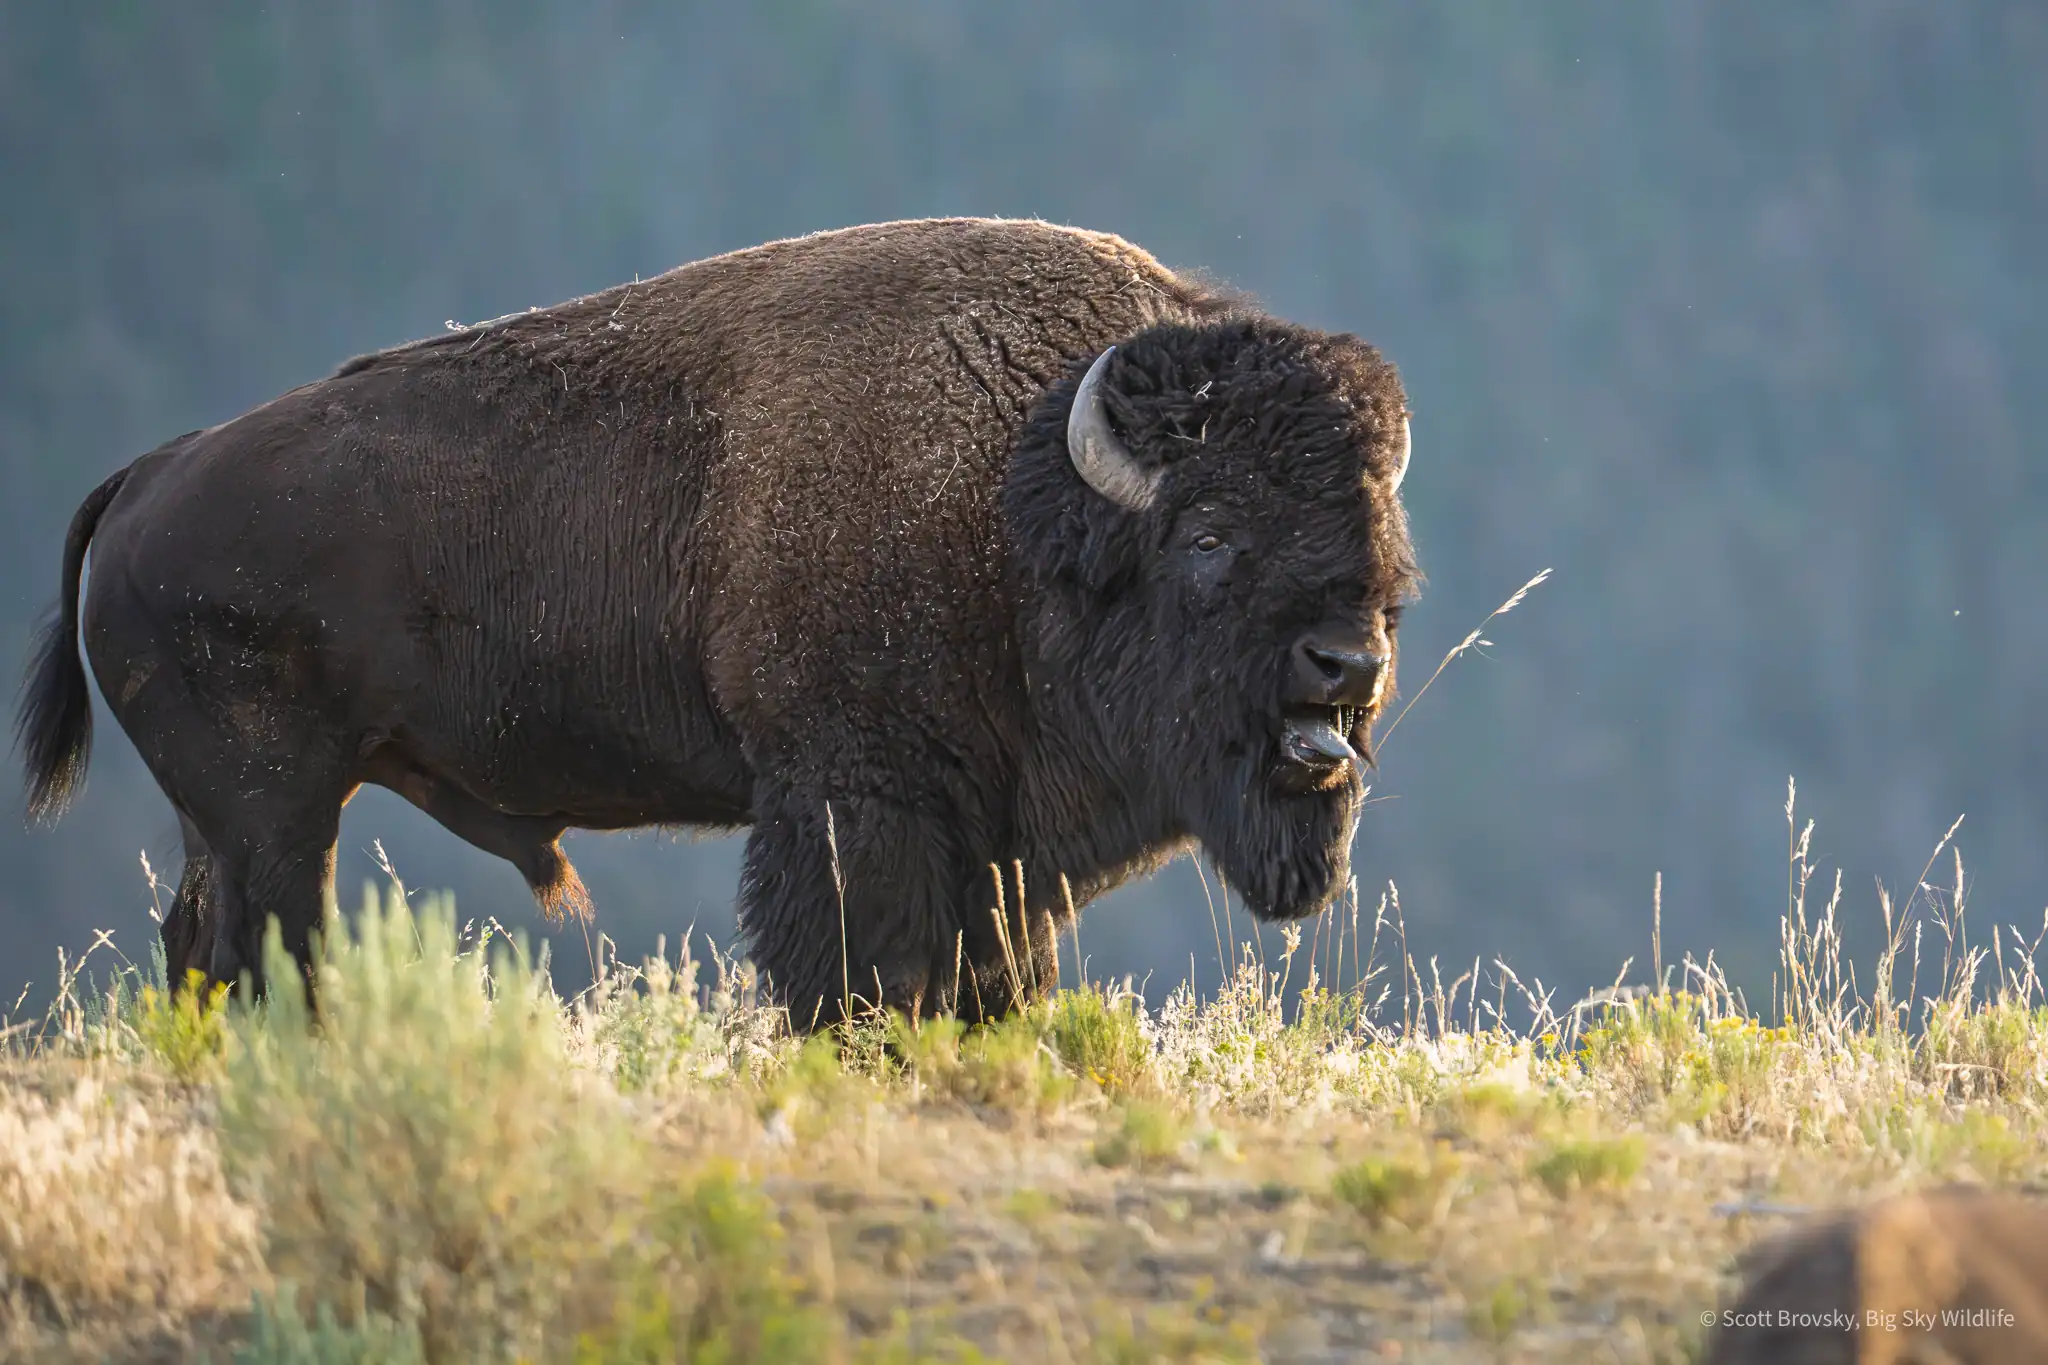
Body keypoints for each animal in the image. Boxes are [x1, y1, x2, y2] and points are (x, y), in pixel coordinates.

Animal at [14, 217, 1419, 1026]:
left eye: (1382, 548)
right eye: (1206, 537)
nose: (1344, 664)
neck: (1016, 498)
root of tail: (147, 475)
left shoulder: (993, 850)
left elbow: (993, 982)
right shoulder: (856, 803)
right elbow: (859, 972)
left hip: (240, 821)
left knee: (203, 946)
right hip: (276, 813)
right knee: (256, 946)